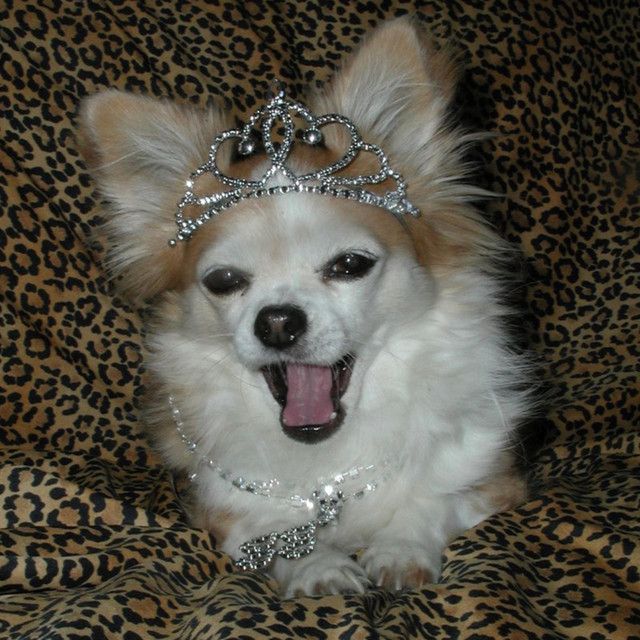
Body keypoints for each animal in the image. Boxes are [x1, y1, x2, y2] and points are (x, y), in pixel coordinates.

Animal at [80, 17, 528, 596]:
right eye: (224, 281)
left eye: (350, 265)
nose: (277, 320)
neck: (329, 468)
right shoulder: (217, 509)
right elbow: (268, 529)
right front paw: (318, 565)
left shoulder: (496, 484)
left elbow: (428, 499)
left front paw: (400, 545)